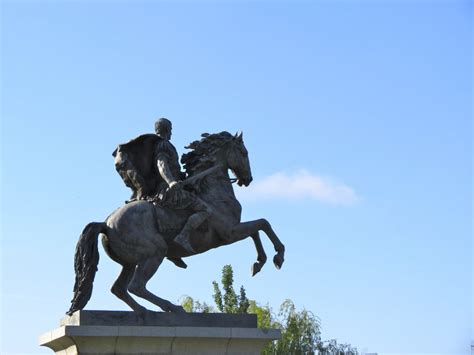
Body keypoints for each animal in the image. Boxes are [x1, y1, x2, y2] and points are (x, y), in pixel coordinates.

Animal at [67, 132, 286, 316]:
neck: (213, 192)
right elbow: (262, 224)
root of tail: (105, 223)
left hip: (130, 262)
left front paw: (259, 262)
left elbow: (257, 230)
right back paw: (171, 307)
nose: (248, 179)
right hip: (155, 252)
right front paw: (277, 257)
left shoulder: (234, 231)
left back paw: (143, 311)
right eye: (243, 152)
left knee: (119, 289)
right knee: (136, 286)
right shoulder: (229, 233)